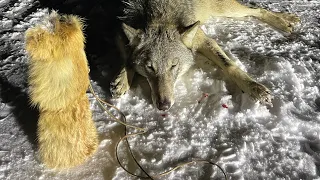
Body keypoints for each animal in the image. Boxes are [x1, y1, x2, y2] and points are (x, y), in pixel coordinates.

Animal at [110, 0, 300, 110]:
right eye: (150, 67)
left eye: (174, 65)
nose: (164, 106)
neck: (160, 15)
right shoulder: (118, 31)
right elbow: (128, 57)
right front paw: (122, 80)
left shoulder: (203, 39)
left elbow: (229, 65)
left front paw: (255, 88)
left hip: (225, 9)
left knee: (257, 9)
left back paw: (285, 21)